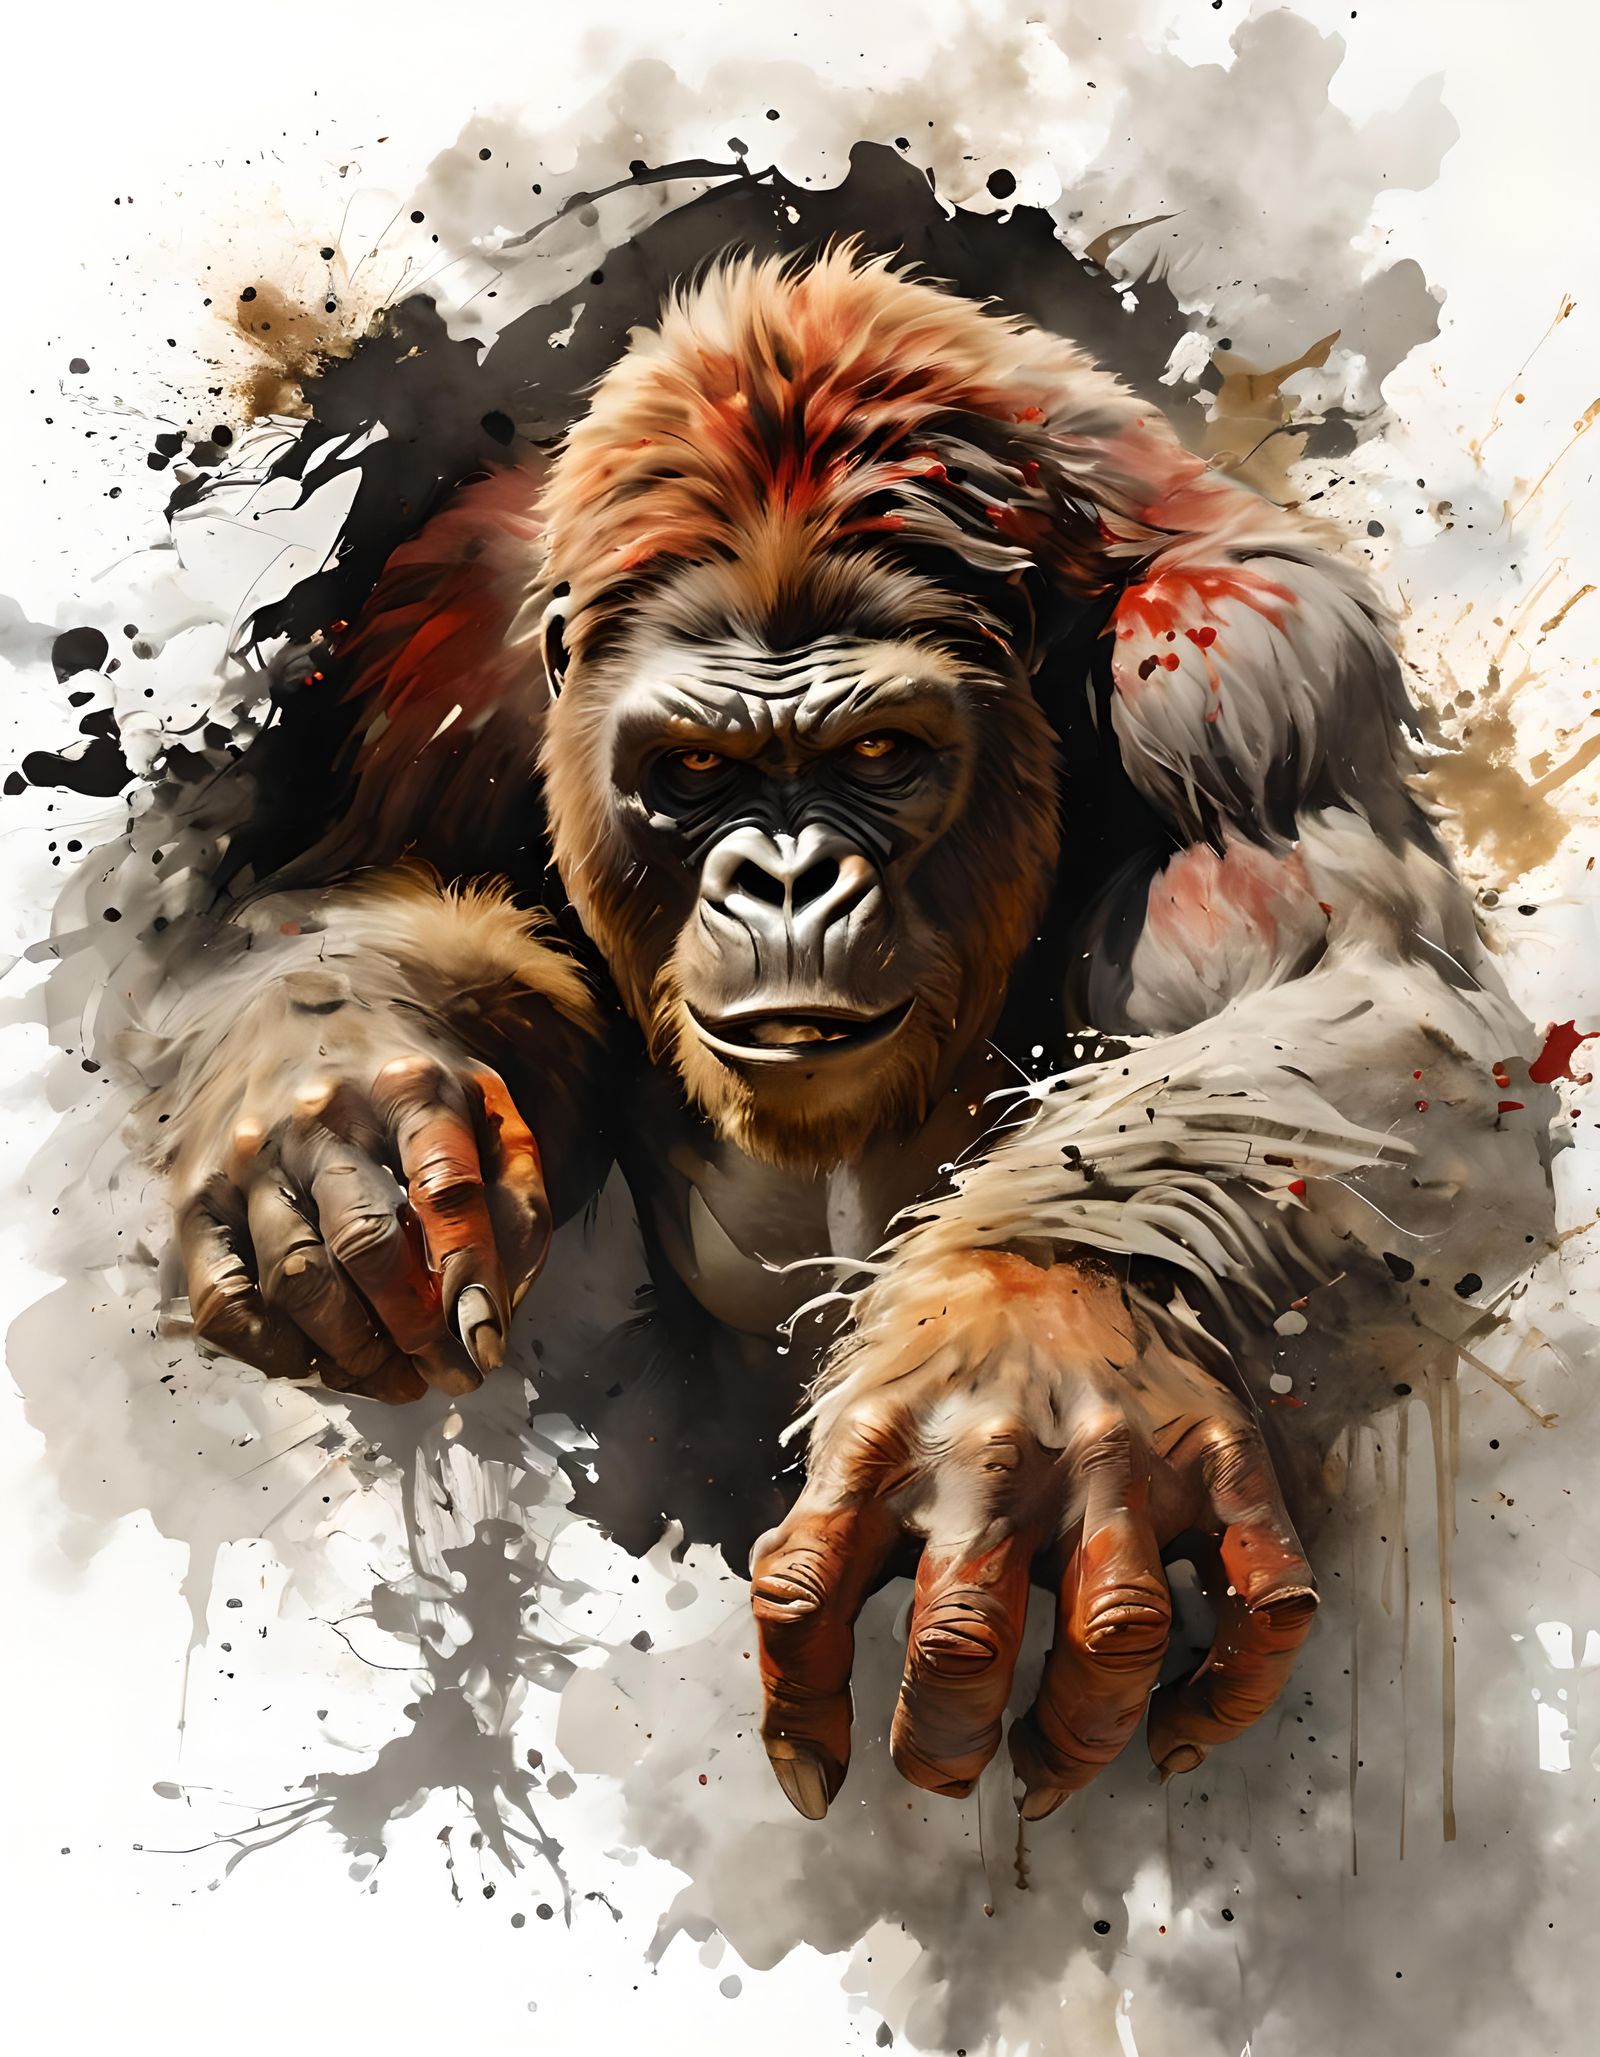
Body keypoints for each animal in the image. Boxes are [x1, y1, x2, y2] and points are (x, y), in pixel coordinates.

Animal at [142, 247, 1553, 1824]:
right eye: (694, 771)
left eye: (879, 753)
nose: (786, 878)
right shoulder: (454, 643)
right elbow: (336, 887)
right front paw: (332, 1115)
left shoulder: (1234, 660)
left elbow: (1399, 1031)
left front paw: (1035, 1331)